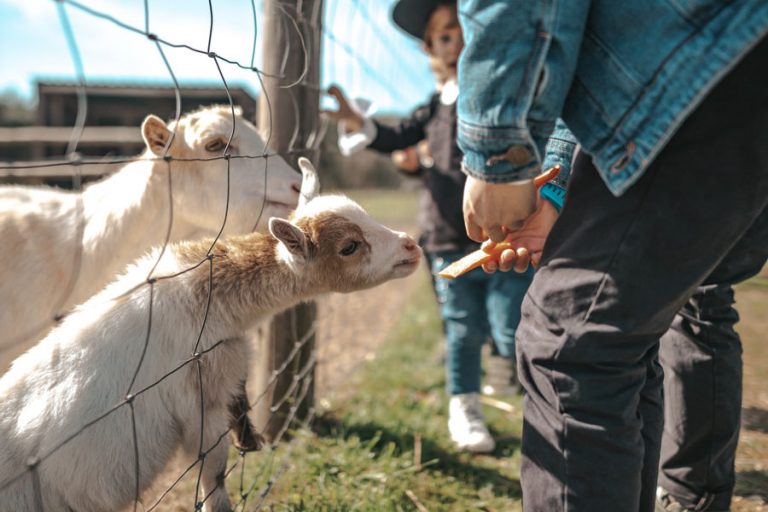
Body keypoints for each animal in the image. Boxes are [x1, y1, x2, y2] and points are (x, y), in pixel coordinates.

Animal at [0, 159, 424, 512]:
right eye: (349, 246)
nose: (412, 246)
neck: (206, 294)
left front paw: (250, 438)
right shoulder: (200, 398)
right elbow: (214, 475)